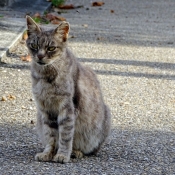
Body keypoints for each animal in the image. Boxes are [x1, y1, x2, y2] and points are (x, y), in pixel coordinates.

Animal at [26, 14, 110, 163]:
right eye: (34, 45)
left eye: (51, 48)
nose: (40, 56)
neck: (45, 76)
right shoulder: (45, 109)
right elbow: (51, 136)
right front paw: (48, 153)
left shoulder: (67, 108)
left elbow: (65, 136)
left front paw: (62, 155)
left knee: (89, 149)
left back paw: (76, 152)